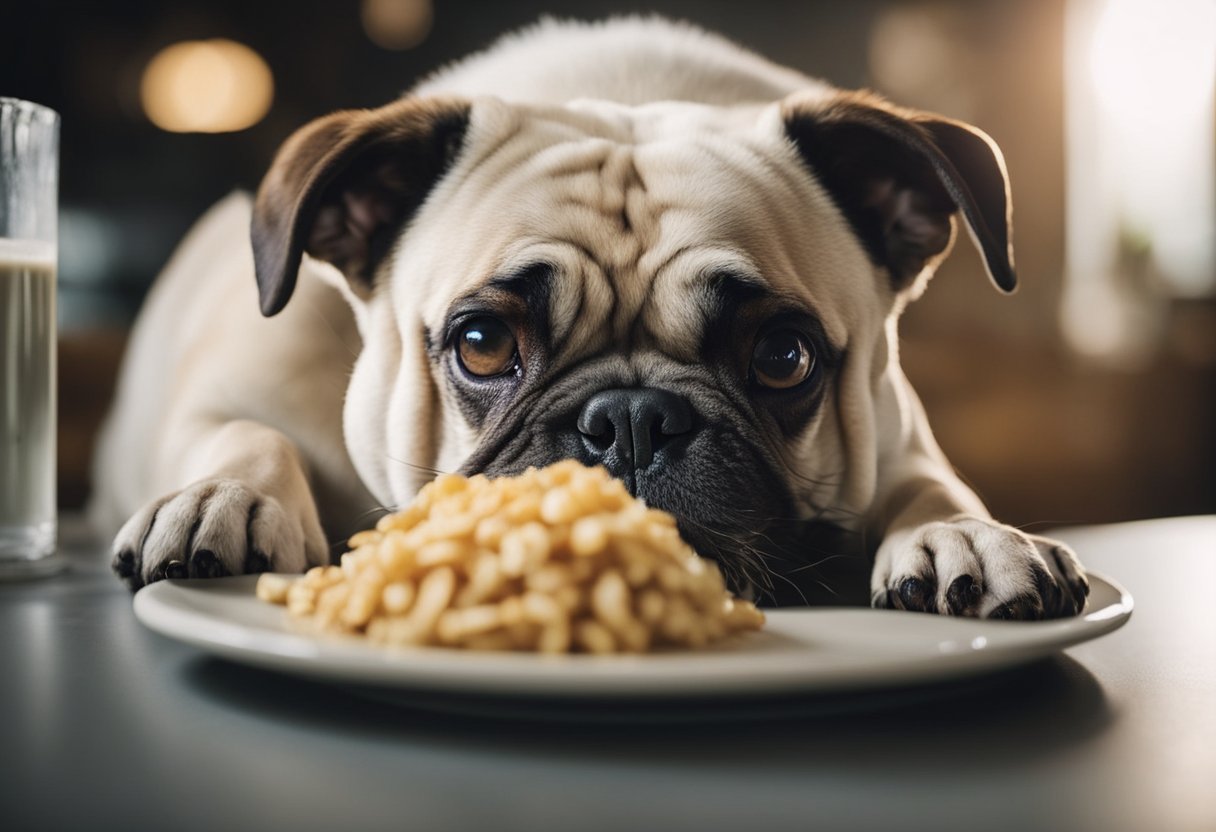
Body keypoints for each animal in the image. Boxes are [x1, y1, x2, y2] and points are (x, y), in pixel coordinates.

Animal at [89, 14, 1089, 617]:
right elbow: (243, 434)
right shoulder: (240, 390)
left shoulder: (898, 433)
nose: (632, 420)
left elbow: (932, 484)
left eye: (783, 357)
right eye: (482, 345)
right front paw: (229, 497)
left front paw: (963, 535)